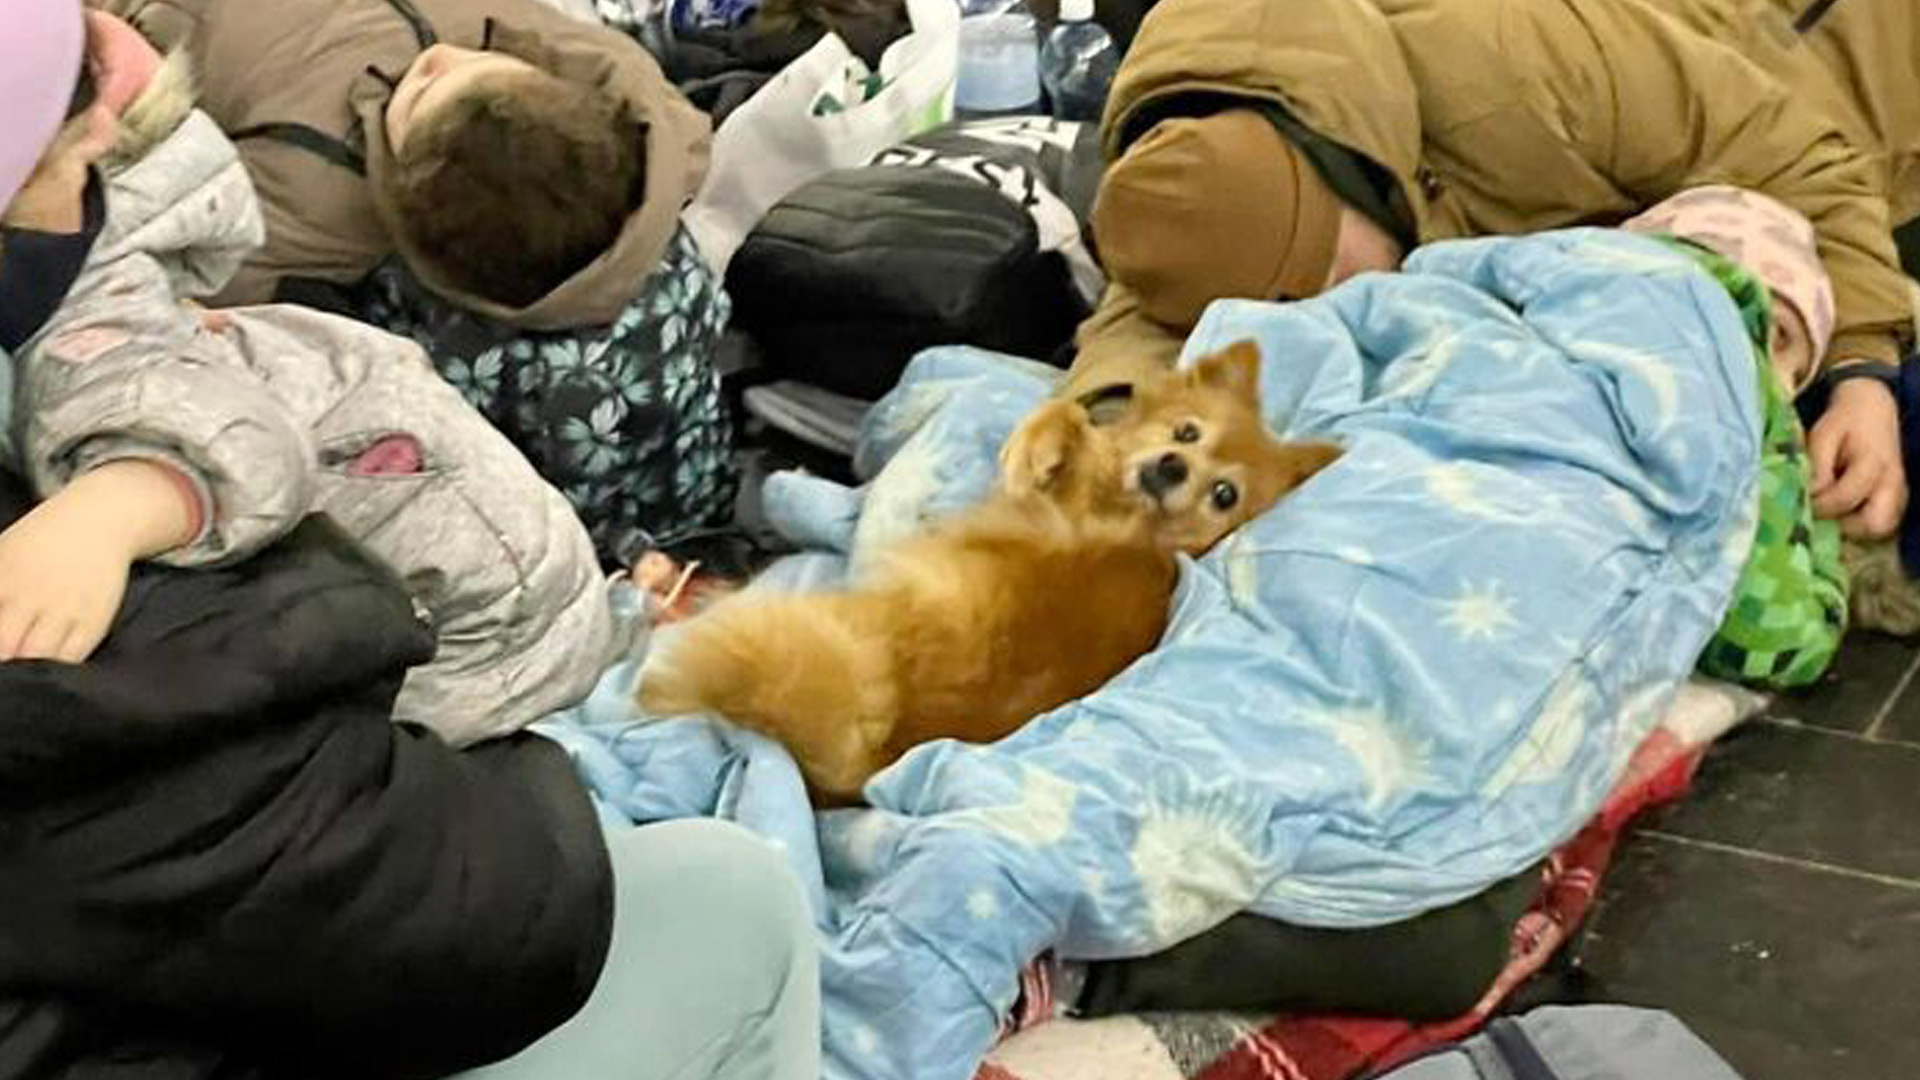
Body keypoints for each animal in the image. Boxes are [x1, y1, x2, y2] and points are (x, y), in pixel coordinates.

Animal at [637, 340, 1344, 803]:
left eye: (1224, 495)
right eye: (1187, 432)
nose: (1171, 468)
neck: (1135, 523)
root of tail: (878, 752)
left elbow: (1065, 420)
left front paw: (1040, 445)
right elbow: (1075, 416)